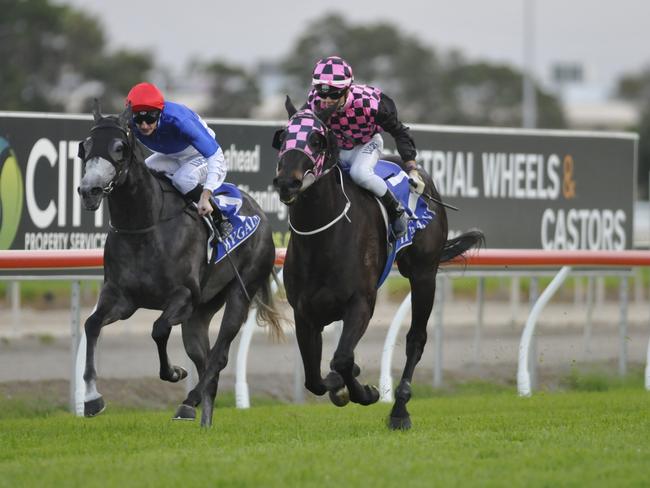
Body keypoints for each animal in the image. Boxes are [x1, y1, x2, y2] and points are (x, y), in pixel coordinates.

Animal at [77, 102, 280, 428]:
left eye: (119, 147)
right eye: (84, 147)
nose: (89, 191)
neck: (145, 225)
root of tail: (260, 214)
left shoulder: (183, 296)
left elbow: (158, 329)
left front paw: (174, 372)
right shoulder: (121, 297)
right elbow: (91, 325)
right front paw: (92, 398)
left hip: (240, 291)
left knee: (219, 355)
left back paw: (188, 402)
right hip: (200, 312)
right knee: (206, 361)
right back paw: (203, 420)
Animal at [270, 100, 480, 430]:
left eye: (316, 139)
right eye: (282, 137)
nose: (287, 182)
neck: (323, 237)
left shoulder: (361, 303)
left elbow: (342, 359)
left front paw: (365, 392)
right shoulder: (304, 313)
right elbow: (314, 379)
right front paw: (341, 384)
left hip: (423, 274)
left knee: (416, 339)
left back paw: (400, 410)